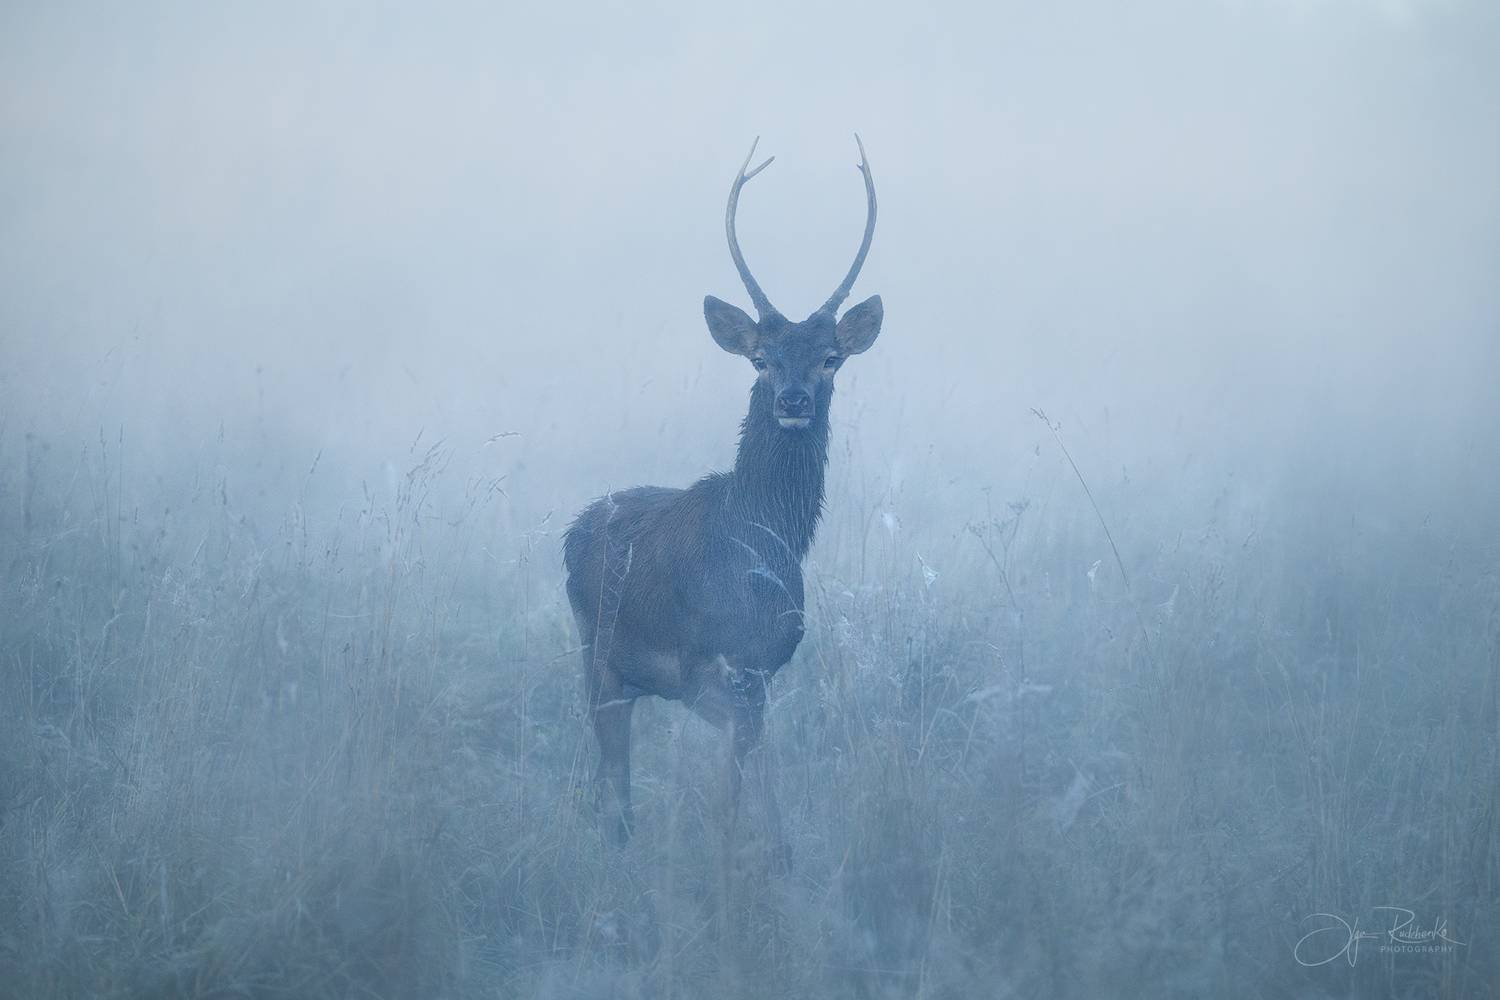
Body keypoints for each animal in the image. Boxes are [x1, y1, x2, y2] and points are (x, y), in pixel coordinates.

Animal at [563, 136, 882, 866]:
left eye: (830, 358)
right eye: (761, 358)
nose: (792, 399)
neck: (759, 539)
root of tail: (571, 527)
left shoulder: (762, 669)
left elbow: (756, 779)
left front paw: (774, 853)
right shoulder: (706, 667)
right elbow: (734, 785)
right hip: (597, 654)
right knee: (615, 779)